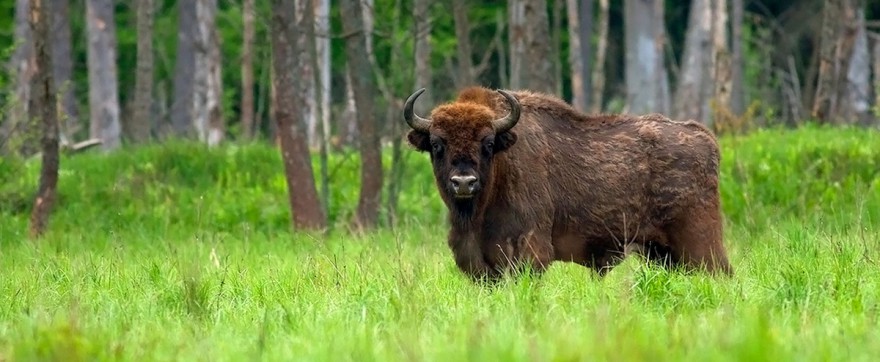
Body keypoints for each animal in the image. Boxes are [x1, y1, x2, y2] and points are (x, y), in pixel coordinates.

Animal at [402, 86, 732, 282]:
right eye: (436, 144)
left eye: (488, 143)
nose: (463, 182)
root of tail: (705, 138)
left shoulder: (529, 252)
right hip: (661, 253)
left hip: (699, 243)